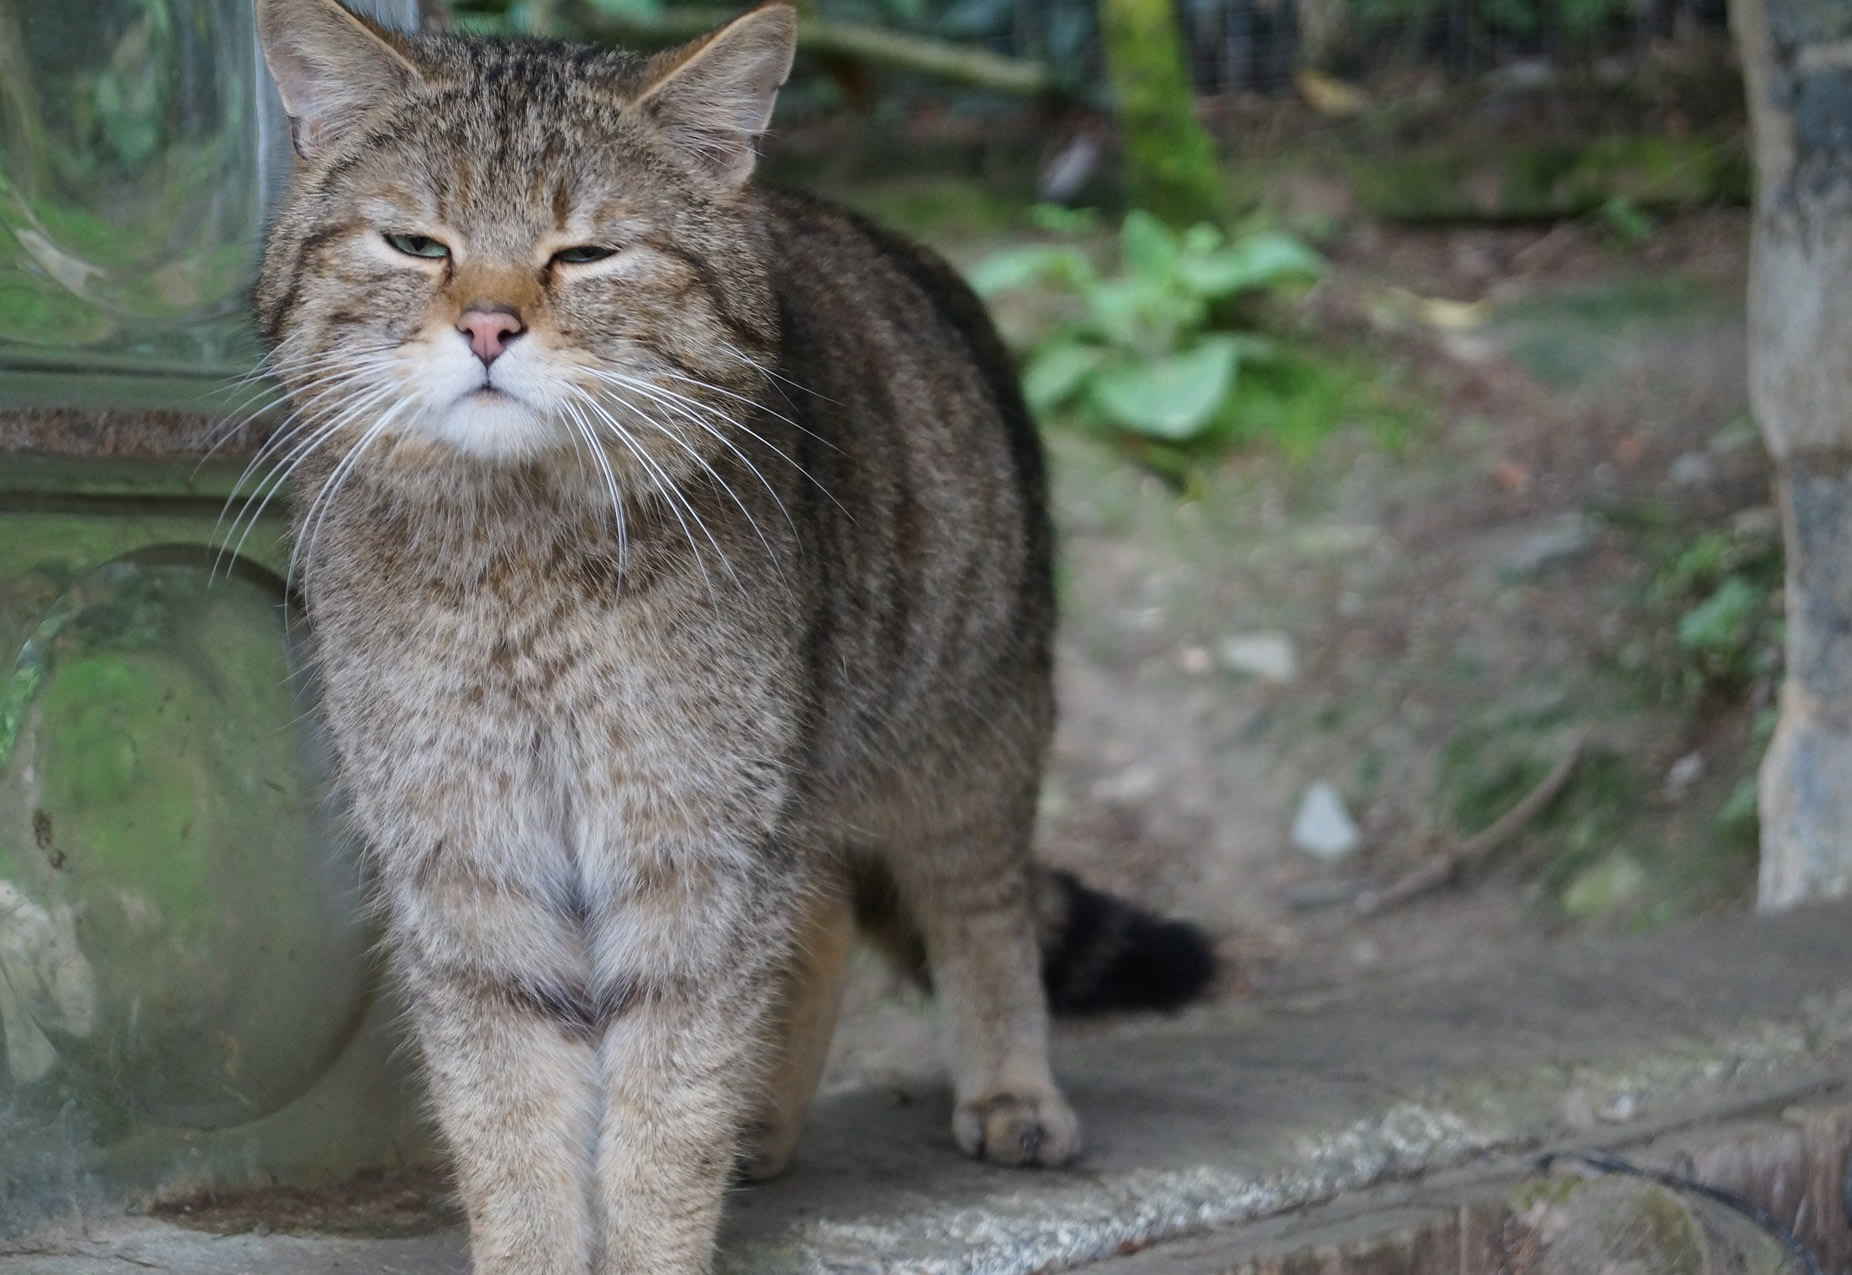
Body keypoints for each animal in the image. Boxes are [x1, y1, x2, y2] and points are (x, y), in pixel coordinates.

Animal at [253, 0, 1222, 1267]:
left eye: (587, 254)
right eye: (417, 243)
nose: (487, 325)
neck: (518, 567)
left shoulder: (695, 858)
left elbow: (663, 1119)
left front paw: (654, 1232)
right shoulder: (467, 865)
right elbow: (508, 1118)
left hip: (965, 735)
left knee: (984, 908)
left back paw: (1011, 1089)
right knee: (822, 924)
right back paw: (766, 1119)